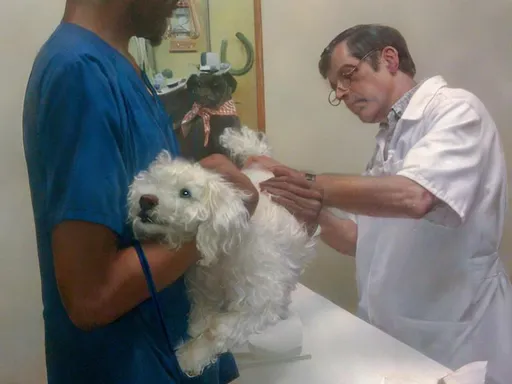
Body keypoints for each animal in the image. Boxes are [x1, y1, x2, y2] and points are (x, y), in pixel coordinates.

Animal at [126, 126, 318, 376]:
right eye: (155, 182)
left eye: (185, 193)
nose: (146, 200)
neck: (223, 254)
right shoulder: (203, 289)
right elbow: (202, 317)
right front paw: (195, 334)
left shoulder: (258, 303)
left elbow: (217, 330)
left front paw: (190, 357)